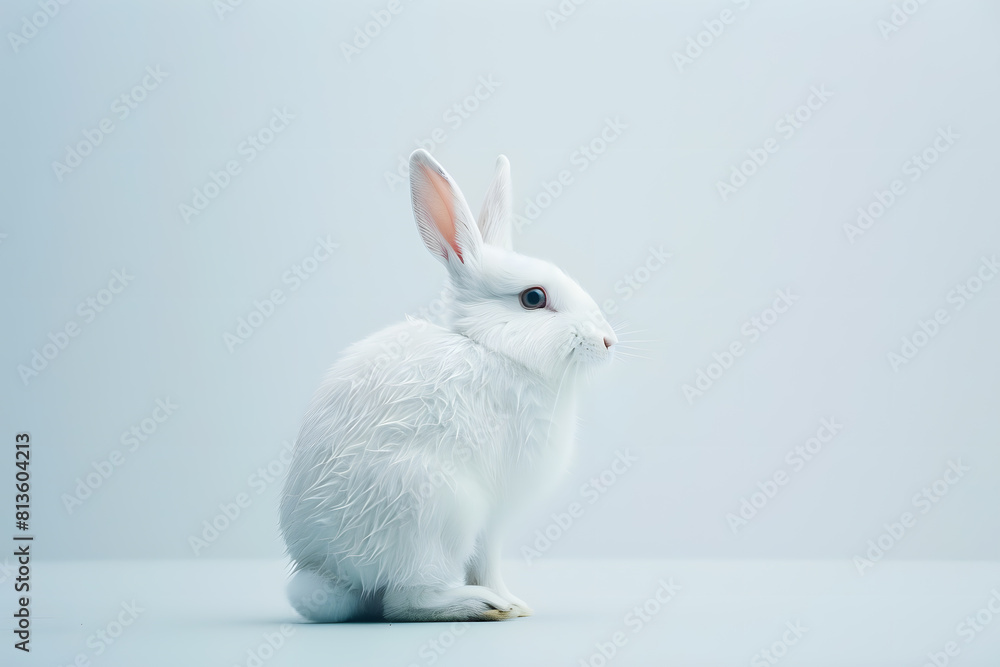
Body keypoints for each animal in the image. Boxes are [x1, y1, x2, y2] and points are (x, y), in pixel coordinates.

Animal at [279, 149, 618, 622]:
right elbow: (487, 560)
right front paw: (511, 601)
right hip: (440, 513)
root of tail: (330, 570)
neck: (494, 350)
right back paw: (482, 604)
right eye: (534, 298)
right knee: (405, 602)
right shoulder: (494, 513)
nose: (608, 341)